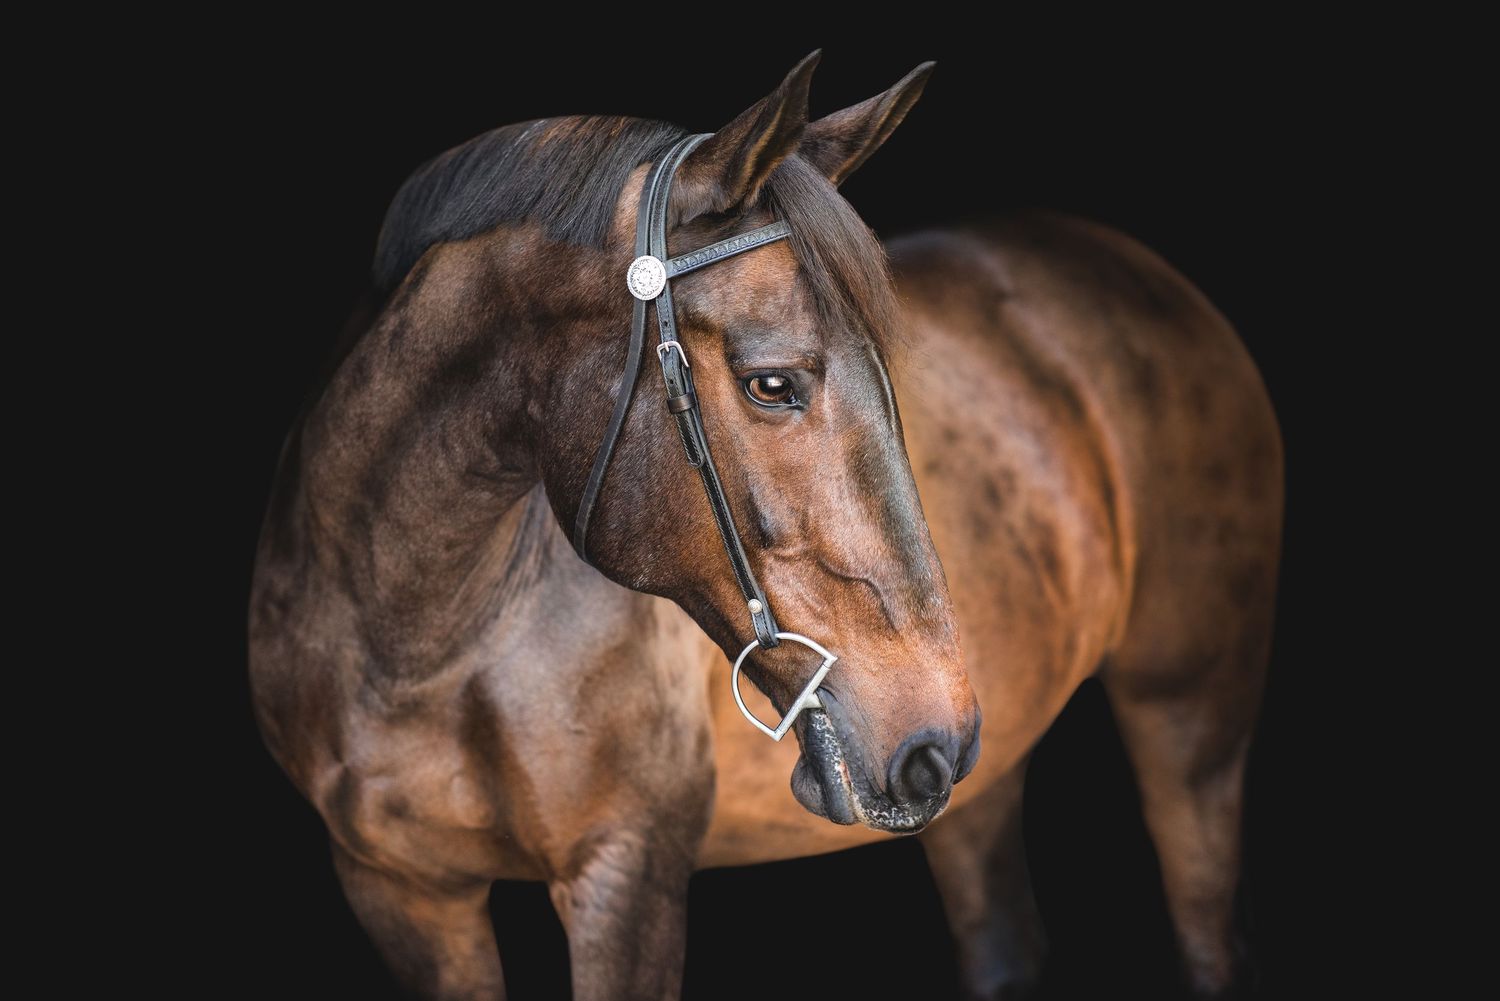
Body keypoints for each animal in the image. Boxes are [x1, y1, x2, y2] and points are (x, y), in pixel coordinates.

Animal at [249, 50, 1283, 1001]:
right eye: (772, 383)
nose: (935, 734)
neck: (420, 635)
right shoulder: (403, 892)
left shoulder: (626, 880)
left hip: (1188, 722)